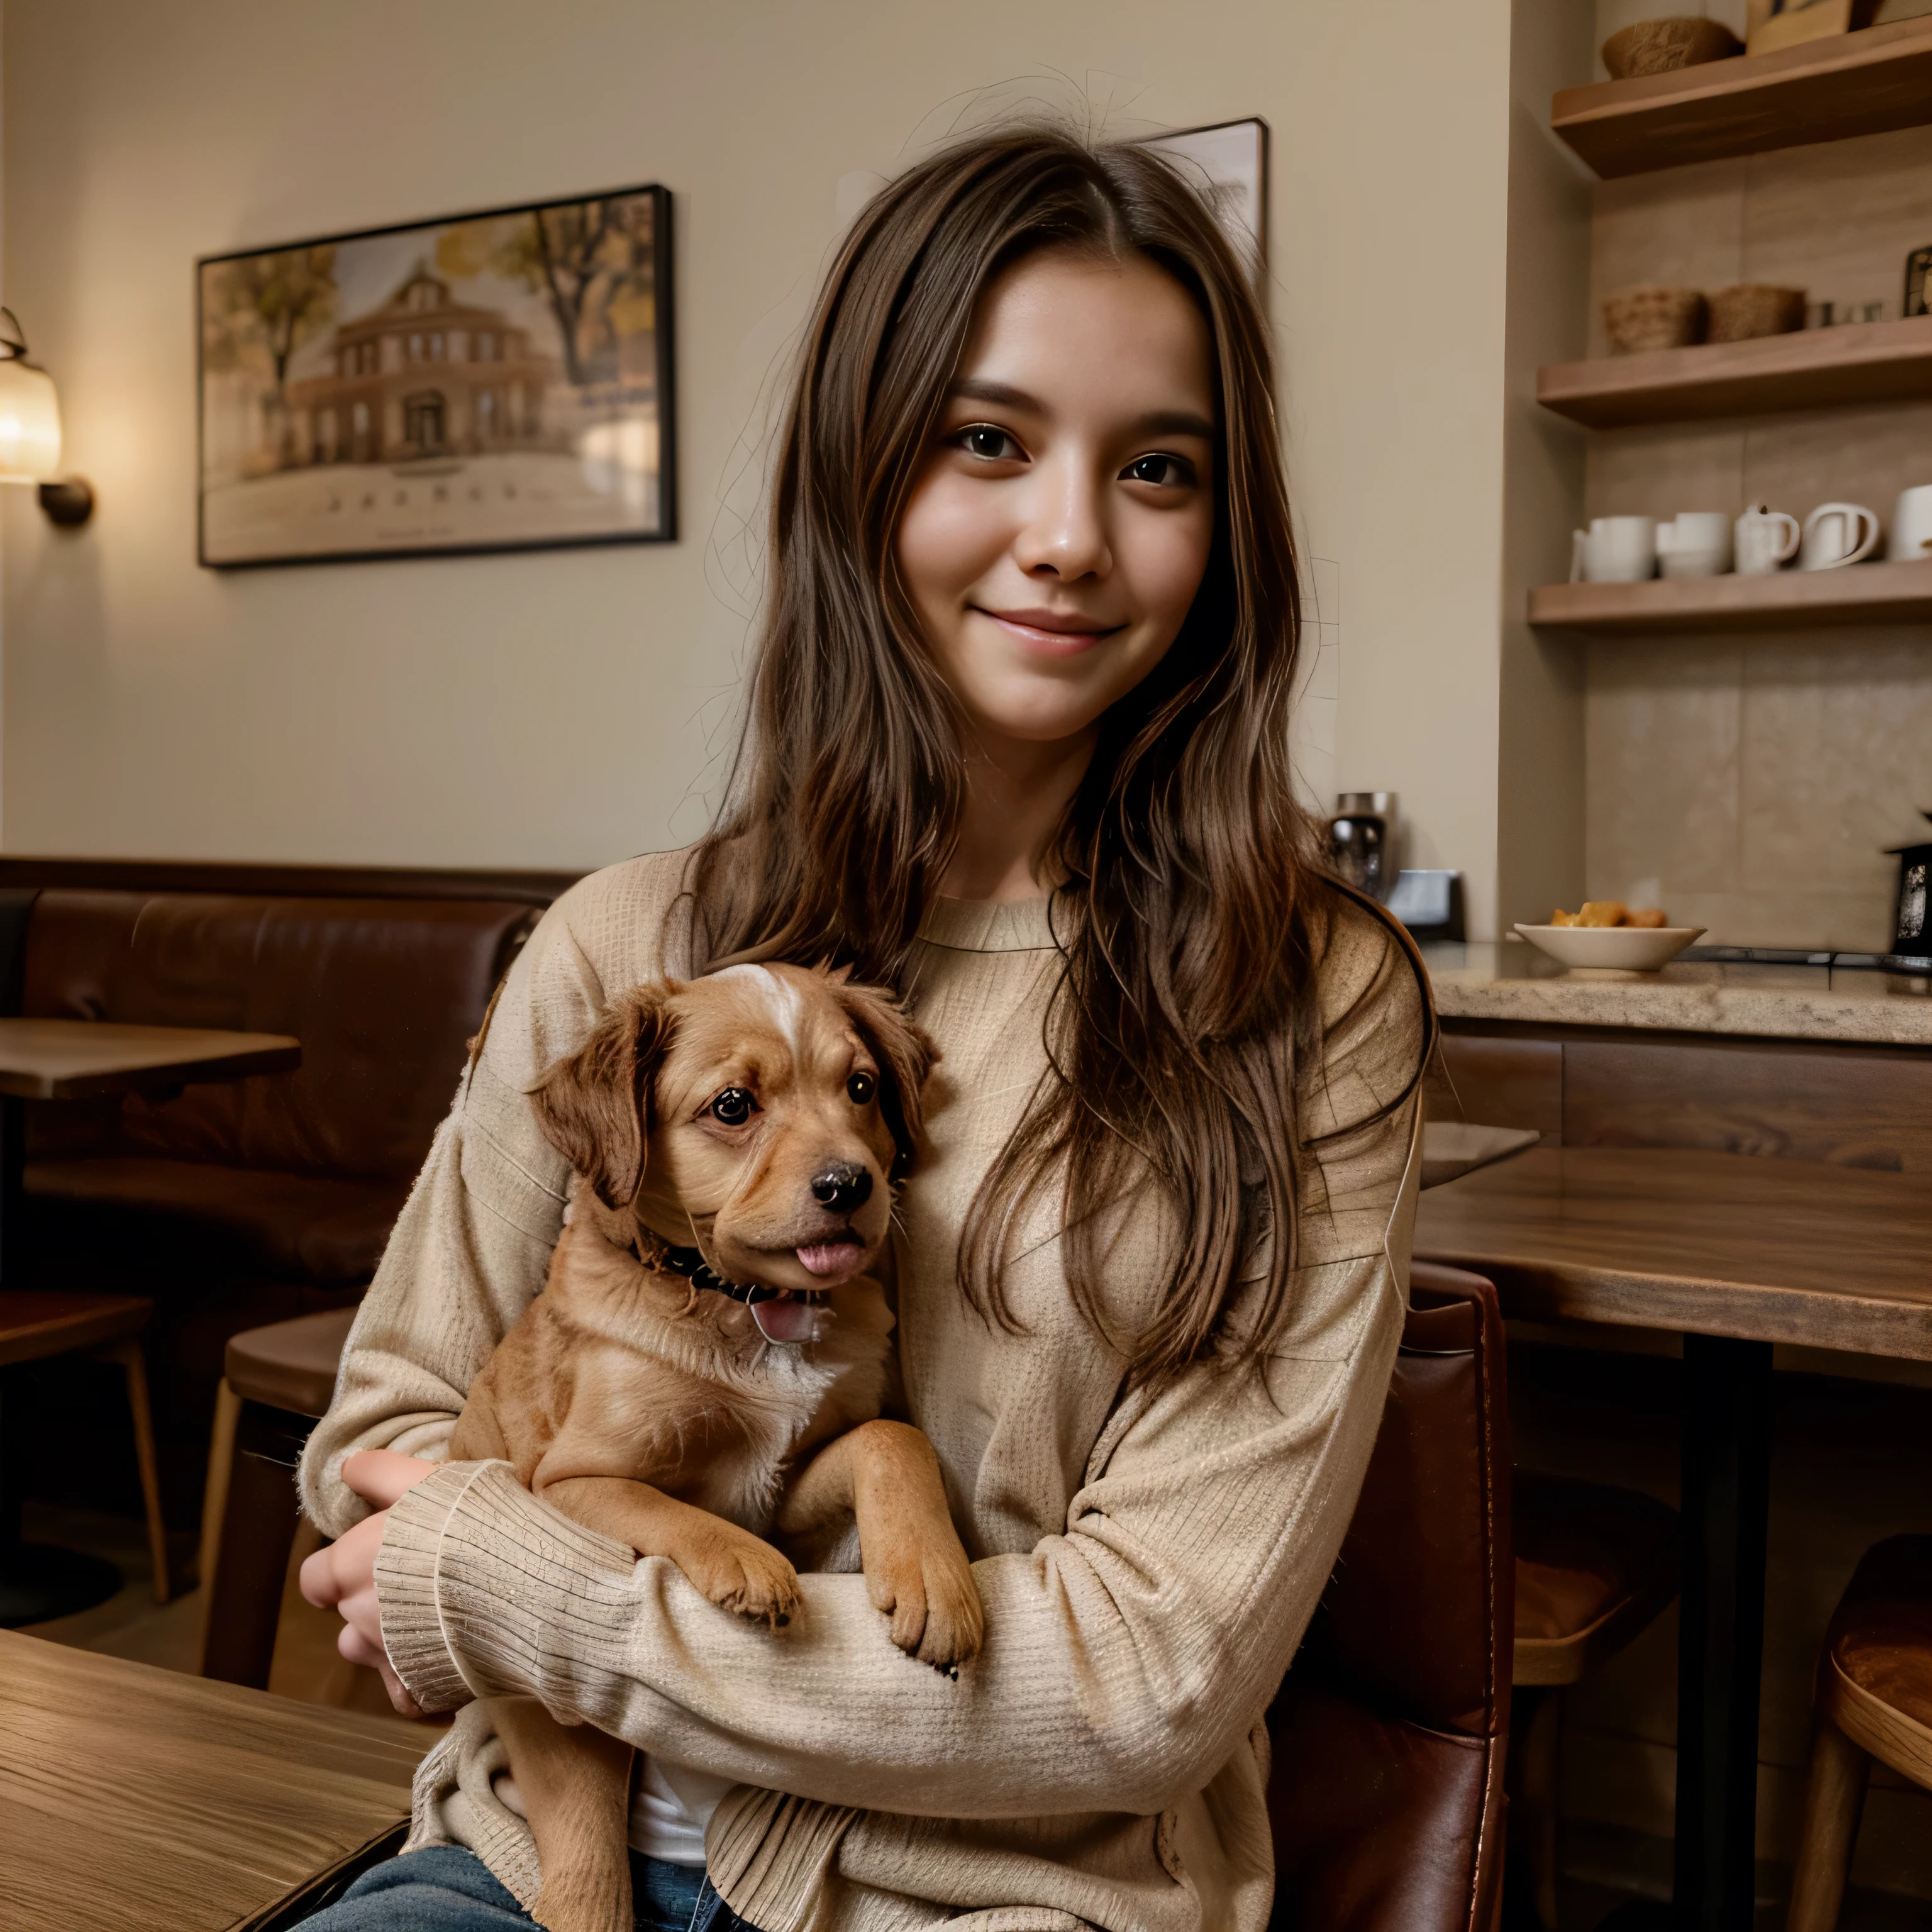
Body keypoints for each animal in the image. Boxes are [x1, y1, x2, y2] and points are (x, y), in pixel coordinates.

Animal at [448, 966, 981, 1932]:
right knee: (587, 1870)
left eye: (860, 1088)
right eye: (733, 1106)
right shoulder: (565, 1480)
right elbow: (665, 1504)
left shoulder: (788, 1480)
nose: (850, 1184)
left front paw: (934, 1580)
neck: (748, 1307)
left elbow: (891, 1434)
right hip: (564, 1740)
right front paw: (745, 1568)